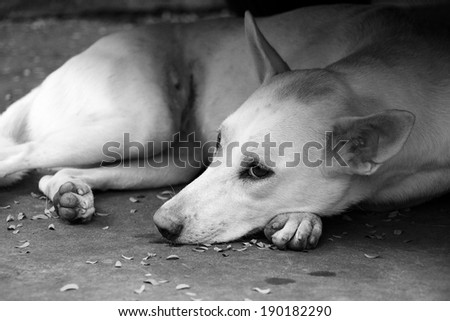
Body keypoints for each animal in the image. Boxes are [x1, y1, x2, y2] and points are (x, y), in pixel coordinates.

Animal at [0, 3, 450, 250]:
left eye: (259, 171)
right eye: (219, 141)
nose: (162, 226)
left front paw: (300, 218)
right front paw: (303, 220)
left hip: (171, 158)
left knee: (54, 173)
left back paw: (70, 195)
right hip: (144, 122)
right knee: (21, 154)